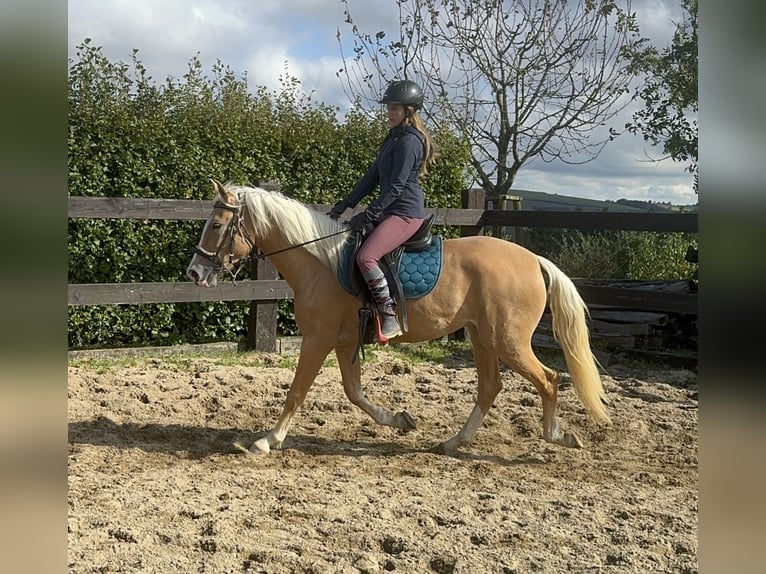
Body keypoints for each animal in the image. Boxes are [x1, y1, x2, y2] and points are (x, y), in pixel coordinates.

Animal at [186, 182, 612, 456]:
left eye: (218, 225)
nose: (194, 273)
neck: (320, 261)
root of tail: (533, 260)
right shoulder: (344, 342)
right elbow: (354, 393)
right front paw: (401, 420)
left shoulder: (318, 339)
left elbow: (297, 391)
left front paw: (267, 440)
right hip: (482, 337)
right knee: (490, 386)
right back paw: (454, 443)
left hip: (508, 341)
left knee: (549, 379)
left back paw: (557, 436)